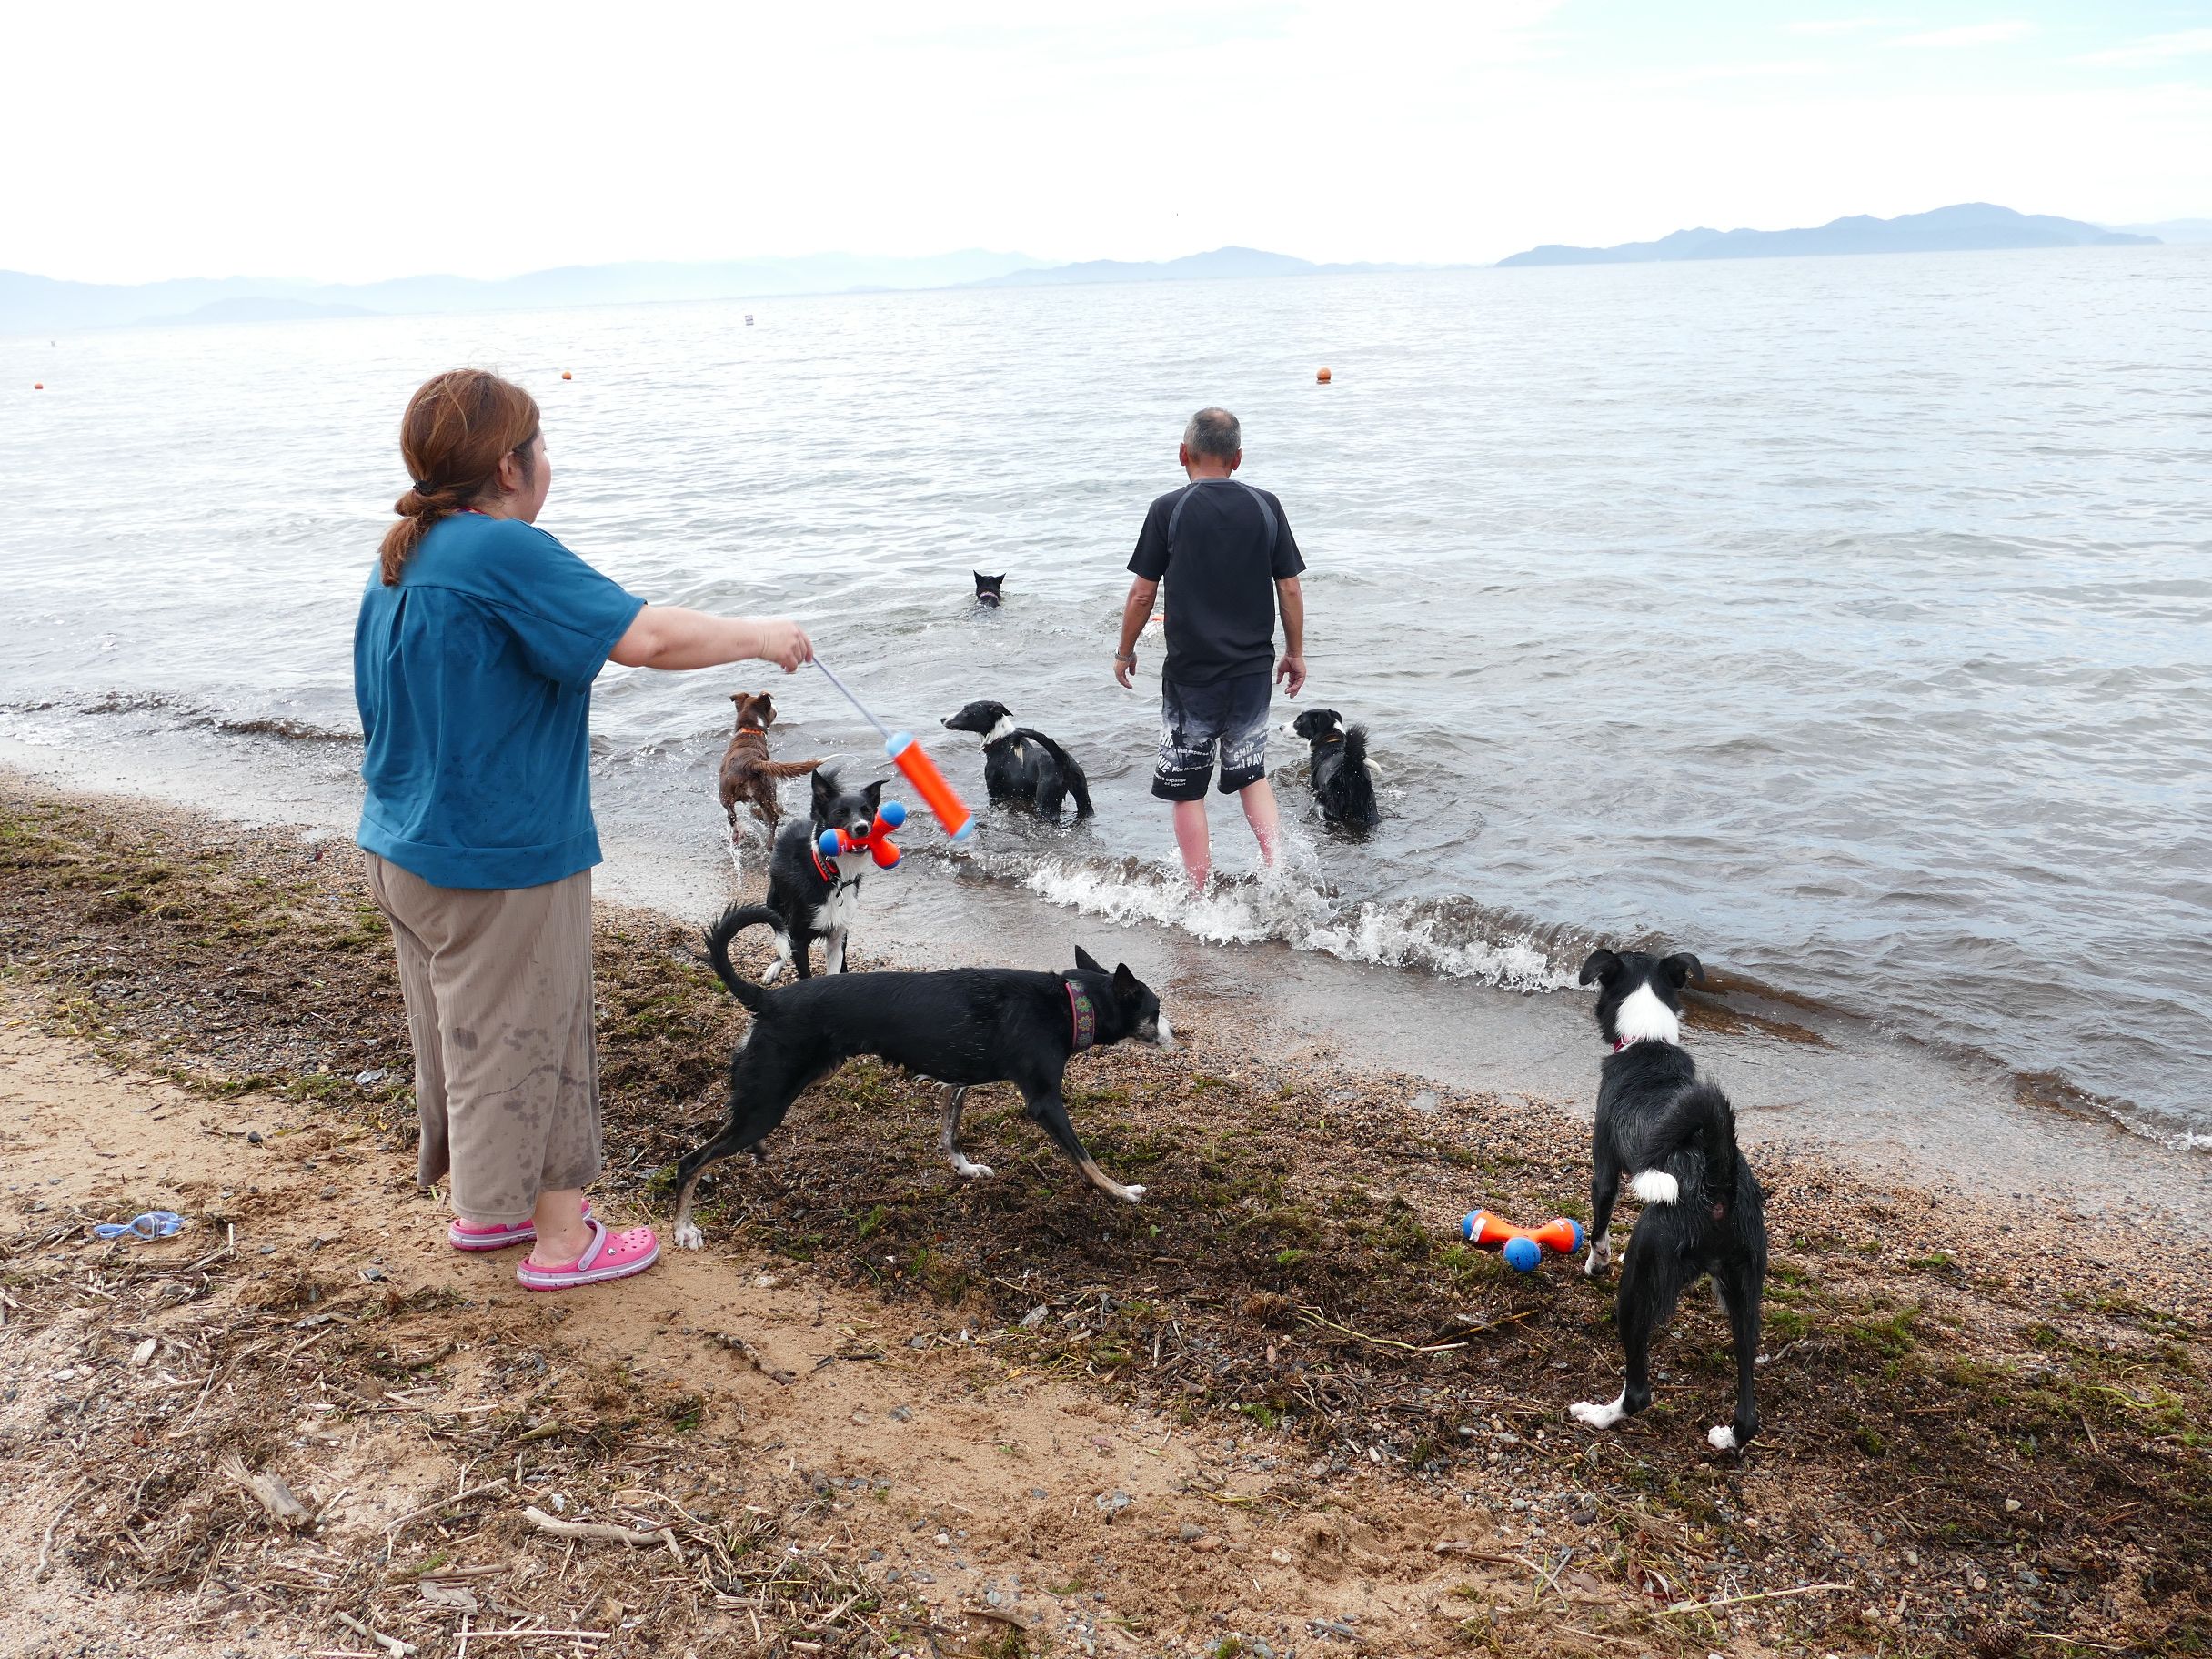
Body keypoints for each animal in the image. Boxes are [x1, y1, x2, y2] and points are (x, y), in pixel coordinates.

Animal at [663, 924, 1176, 1247]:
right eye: (1155, 1011)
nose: (1175, 1036)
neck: (1072, 1002)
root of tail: (767, 999)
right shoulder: (1045, 1102)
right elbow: (1085, 1159)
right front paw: (1119, 1191)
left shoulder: (958, 1082)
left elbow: (950, 1133)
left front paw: (965, 1170)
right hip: (769, 1101)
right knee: (692, 1161)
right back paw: (683, 1227)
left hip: (787, 1084)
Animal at [720, 689, 827, 845]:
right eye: (771, 707)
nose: (776, 707)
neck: (751, 731)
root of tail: (750, 763)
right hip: (761, 792)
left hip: (735, 794)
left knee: (734, 816)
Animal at [942, 703, 1097, 827]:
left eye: (966, 710)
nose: (942, 719)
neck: (1000, 740)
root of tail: (1060, 758)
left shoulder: (994, 793)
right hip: (1084, 799)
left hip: (1047, 805)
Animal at [1565, 946, 1769, 1451]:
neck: (1647, 1040)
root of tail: (1718, 1183)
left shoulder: (1604, 1169)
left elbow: (1599, 1224)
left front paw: (1595, 1262)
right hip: (1744, 1295)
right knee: (1749, 1407)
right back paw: (1730, 1438)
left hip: (1641, 1278)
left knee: (1639, 1391)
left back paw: (1599, 1414)